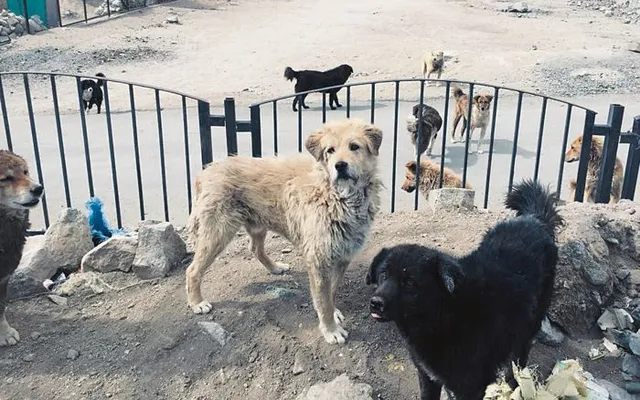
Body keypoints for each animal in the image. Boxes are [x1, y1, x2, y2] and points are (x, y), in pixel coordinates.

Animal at [188, 118, 382, 344]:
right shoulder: (318, 259)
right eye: (330, 150)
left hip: (257, 224)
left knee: (255, 249)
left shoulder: (342, 256)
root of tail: (205, 171)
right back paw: (197, 302)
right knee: (192, 270)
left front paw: (333, 314)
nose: (340, 165)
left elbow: (331, 292)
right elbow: (323, 300)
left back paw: (275, 267)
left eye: (354, 146)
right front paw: (330, 329)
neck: (336, 195)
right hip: (217, 232)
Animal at [368, 179, 564, 400]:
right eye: (383, 275)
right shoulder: (428, 377)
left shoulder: (471, 386)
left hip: (528, 325)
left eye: (409, 282)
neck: (445, 315)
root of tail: (534, 219)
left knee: (518, 360)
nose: (375, 303)